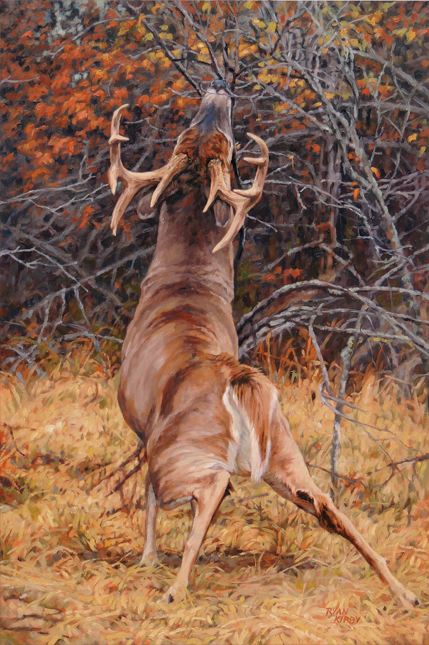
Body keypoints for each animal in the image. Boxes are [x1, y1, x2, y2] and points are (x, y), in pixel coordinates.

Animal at [108, 80, 419, 608]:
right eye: (193, 131)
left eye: (228, 146)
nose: (218, 91)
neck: (184, 282)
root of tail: (239, 379)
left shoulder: (142, 428)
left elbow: (147, 501)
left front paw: (147, 558)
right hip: (284, 449)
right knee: (327, 502)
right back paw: (403, 592)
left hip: (179, 452)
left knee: (209, 488)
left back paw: (174, 589)